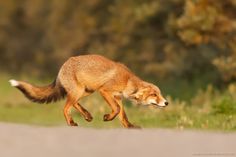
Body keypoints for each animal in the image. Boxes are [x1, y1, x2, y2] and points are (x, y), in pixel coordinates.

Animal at [9, 54, 168, 128]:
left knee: (74, 104)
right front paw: (107, 118)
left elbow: (122, 115)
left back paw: (87, 115)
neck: (127, 81)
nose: (166, 103)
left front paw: (130, 127)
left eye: (159, 94)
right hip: (80, 91)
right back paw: (71, 122)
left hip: (86, 91)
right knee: (65, 107)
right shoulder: (105, 91)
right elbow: (116, 110)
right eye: (154, 95)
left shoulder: (117, 97)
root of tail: (63, 65)